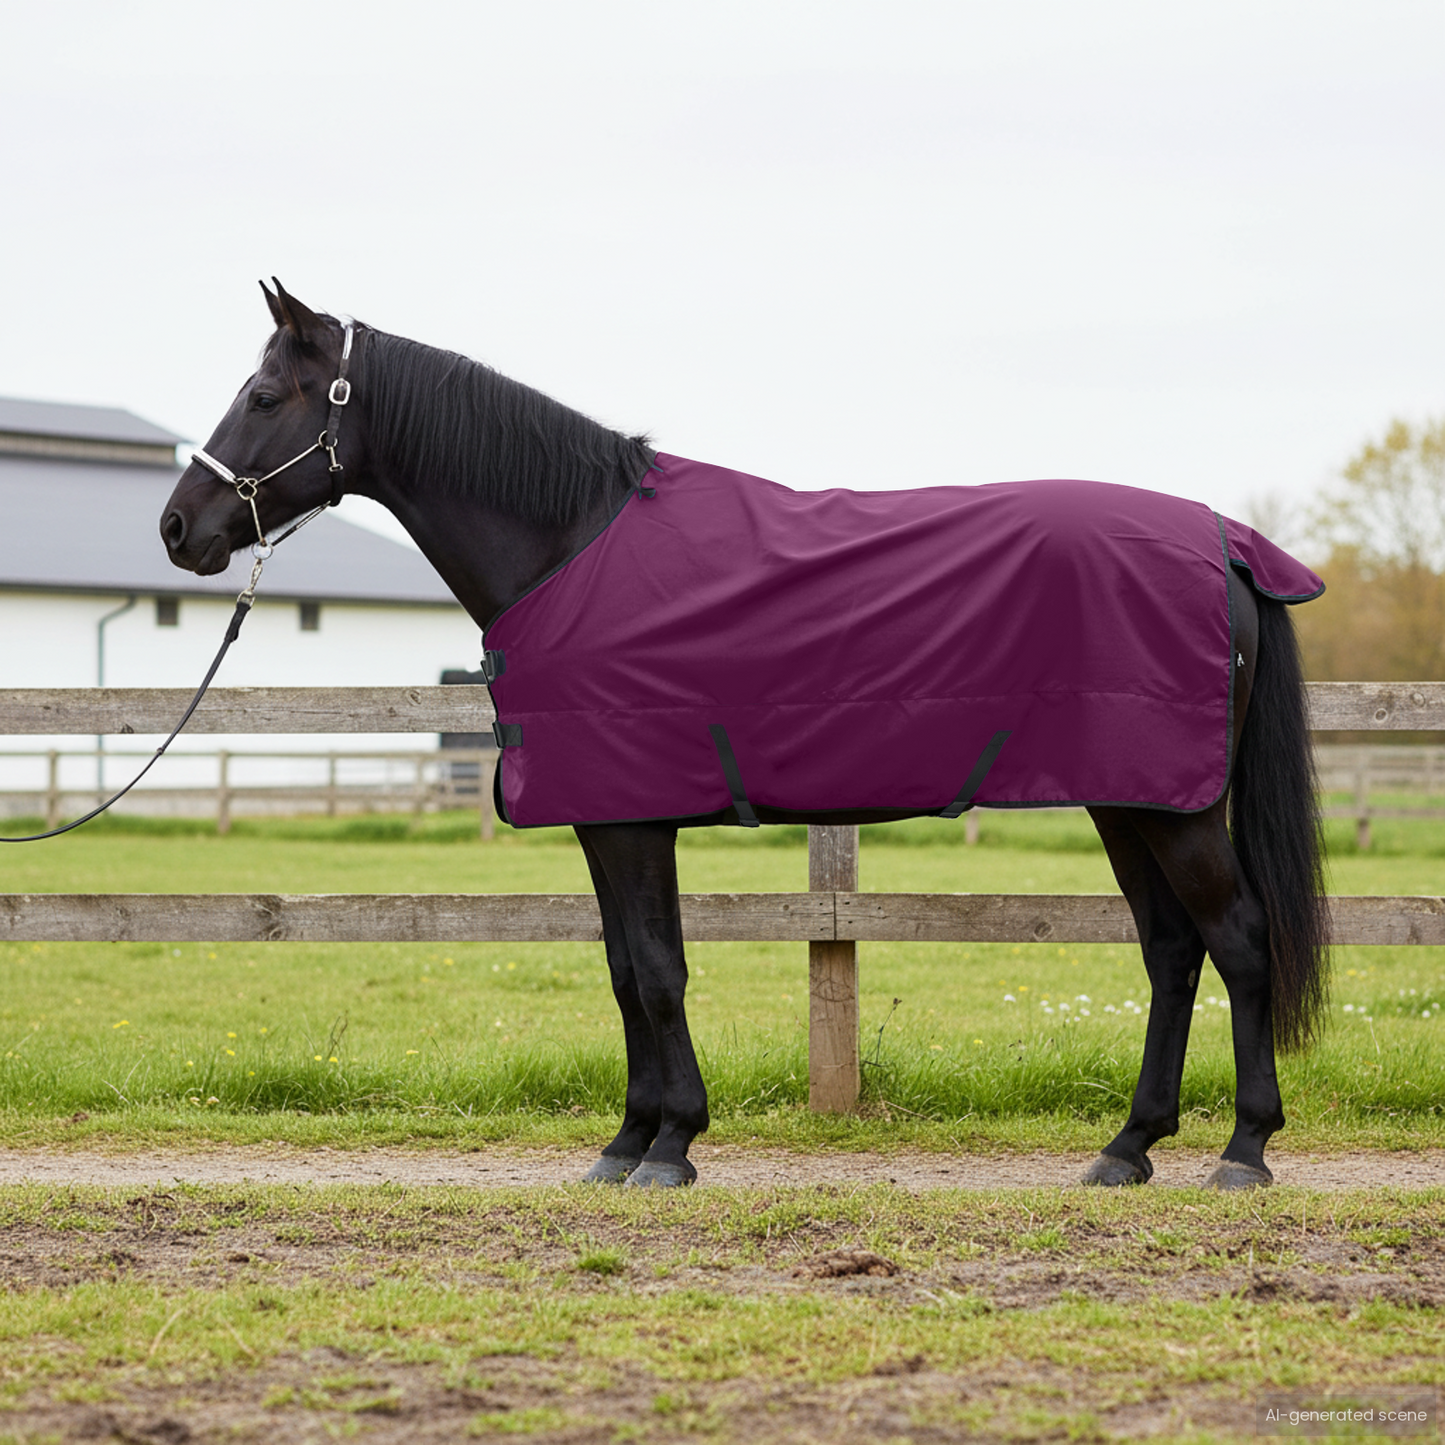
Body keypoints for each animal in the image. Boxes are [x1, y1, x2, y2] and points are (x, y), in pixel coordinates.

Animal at [160, 281, 1329, 1191]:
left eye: (262, 396)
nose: (178, 528)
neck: (568, 542)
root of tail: (1224, 542)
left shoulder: (632, 818)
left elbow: (657, 970)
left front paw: (670, 1143)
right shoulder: (606, 816)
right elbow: (625, 968)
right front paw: (628, 1139)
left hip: (1169, 808)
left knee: (1237, 940)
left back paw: (1242, 1149)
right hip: (1127, 799)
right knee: (1170, 949)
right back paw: (1127, 1147)